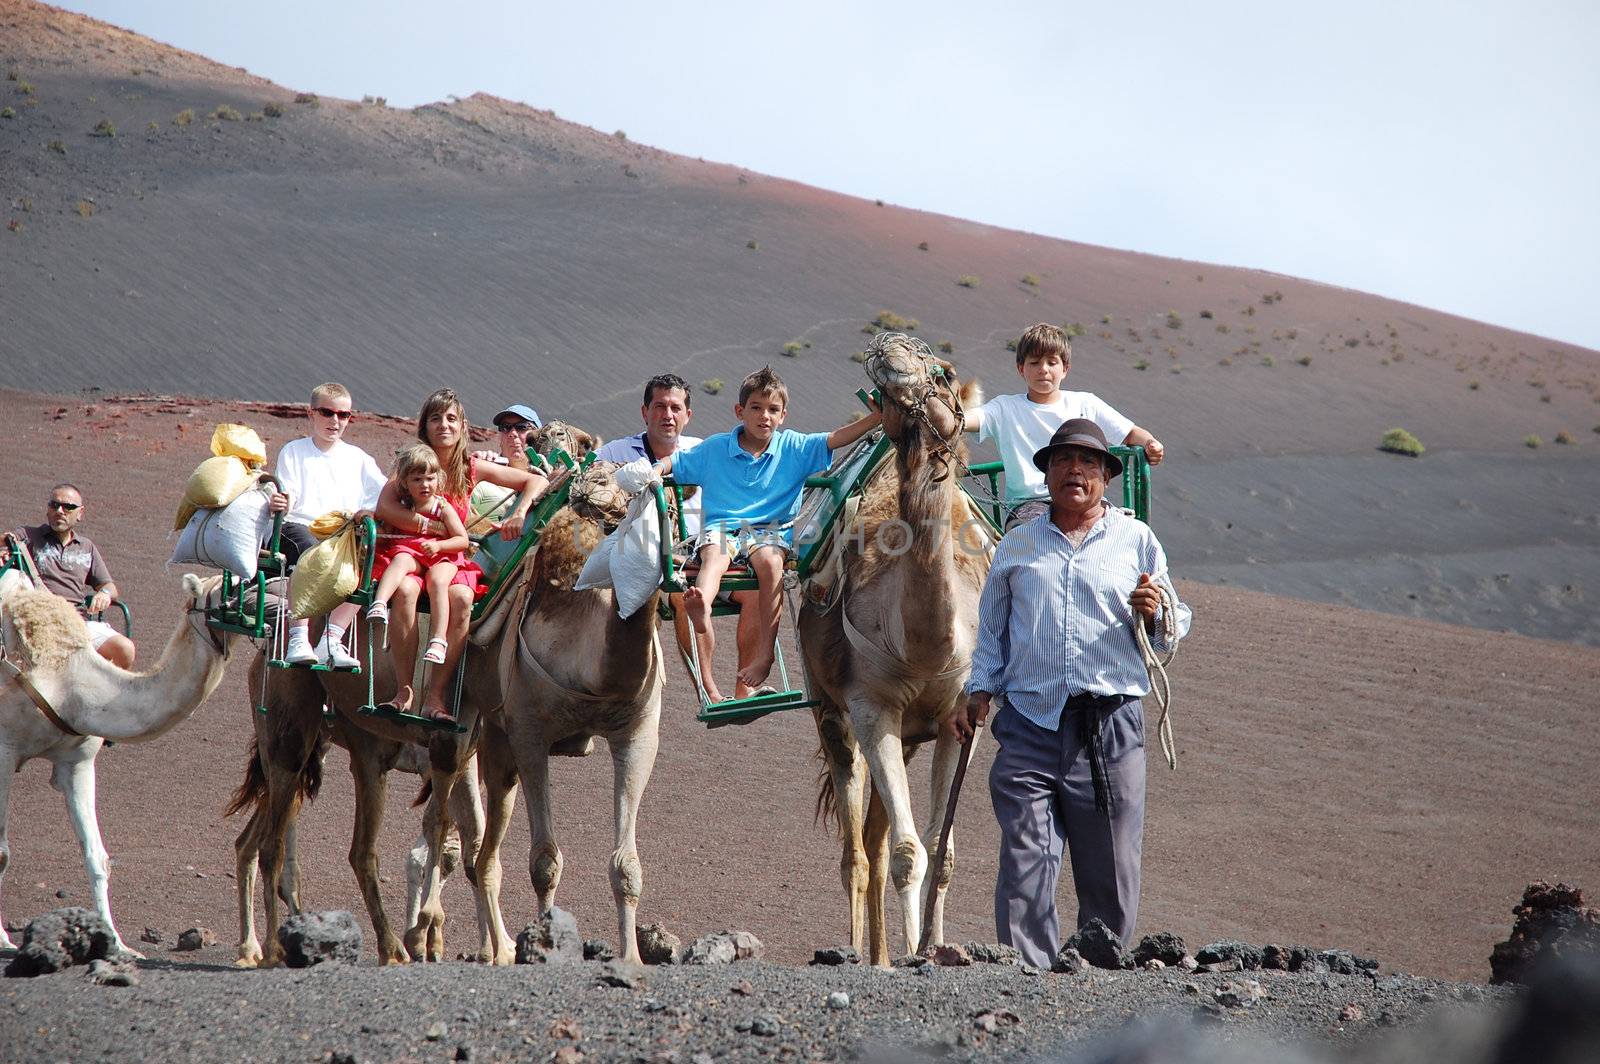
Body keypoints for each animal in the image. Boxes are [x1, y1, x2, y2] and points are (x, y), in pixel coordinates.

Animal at [0, 572, 243, 953]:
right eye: (230, 591)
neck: (70, 683)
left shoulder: (77, 761)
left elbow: (97, 857)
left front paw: (116, 942)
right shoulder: (4, 748)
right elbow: (1, 854)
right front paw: (3, 941)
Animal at [467, 460, 662, 966]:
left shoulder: (637, 735)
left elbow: (627, 865)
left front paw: (632, 957)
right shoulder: (530, 734)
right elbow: (544, 862)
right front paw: (546, 944)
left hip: (490, 738)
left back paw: (488, 948)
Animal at [796, 332, 985, 960]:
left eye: (944, 372)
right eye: (883, 393)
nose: (890, 345)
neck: (928, 646)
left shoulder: (962, 717)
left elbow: (941, 854)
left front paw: (931, 947)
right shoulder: (870, 705)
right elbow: (909, 853)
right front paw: (907, 955)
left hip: (905, 739)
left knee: (875, 841)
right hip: (832, 710)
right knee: (857, 850)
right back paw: (862, 955)